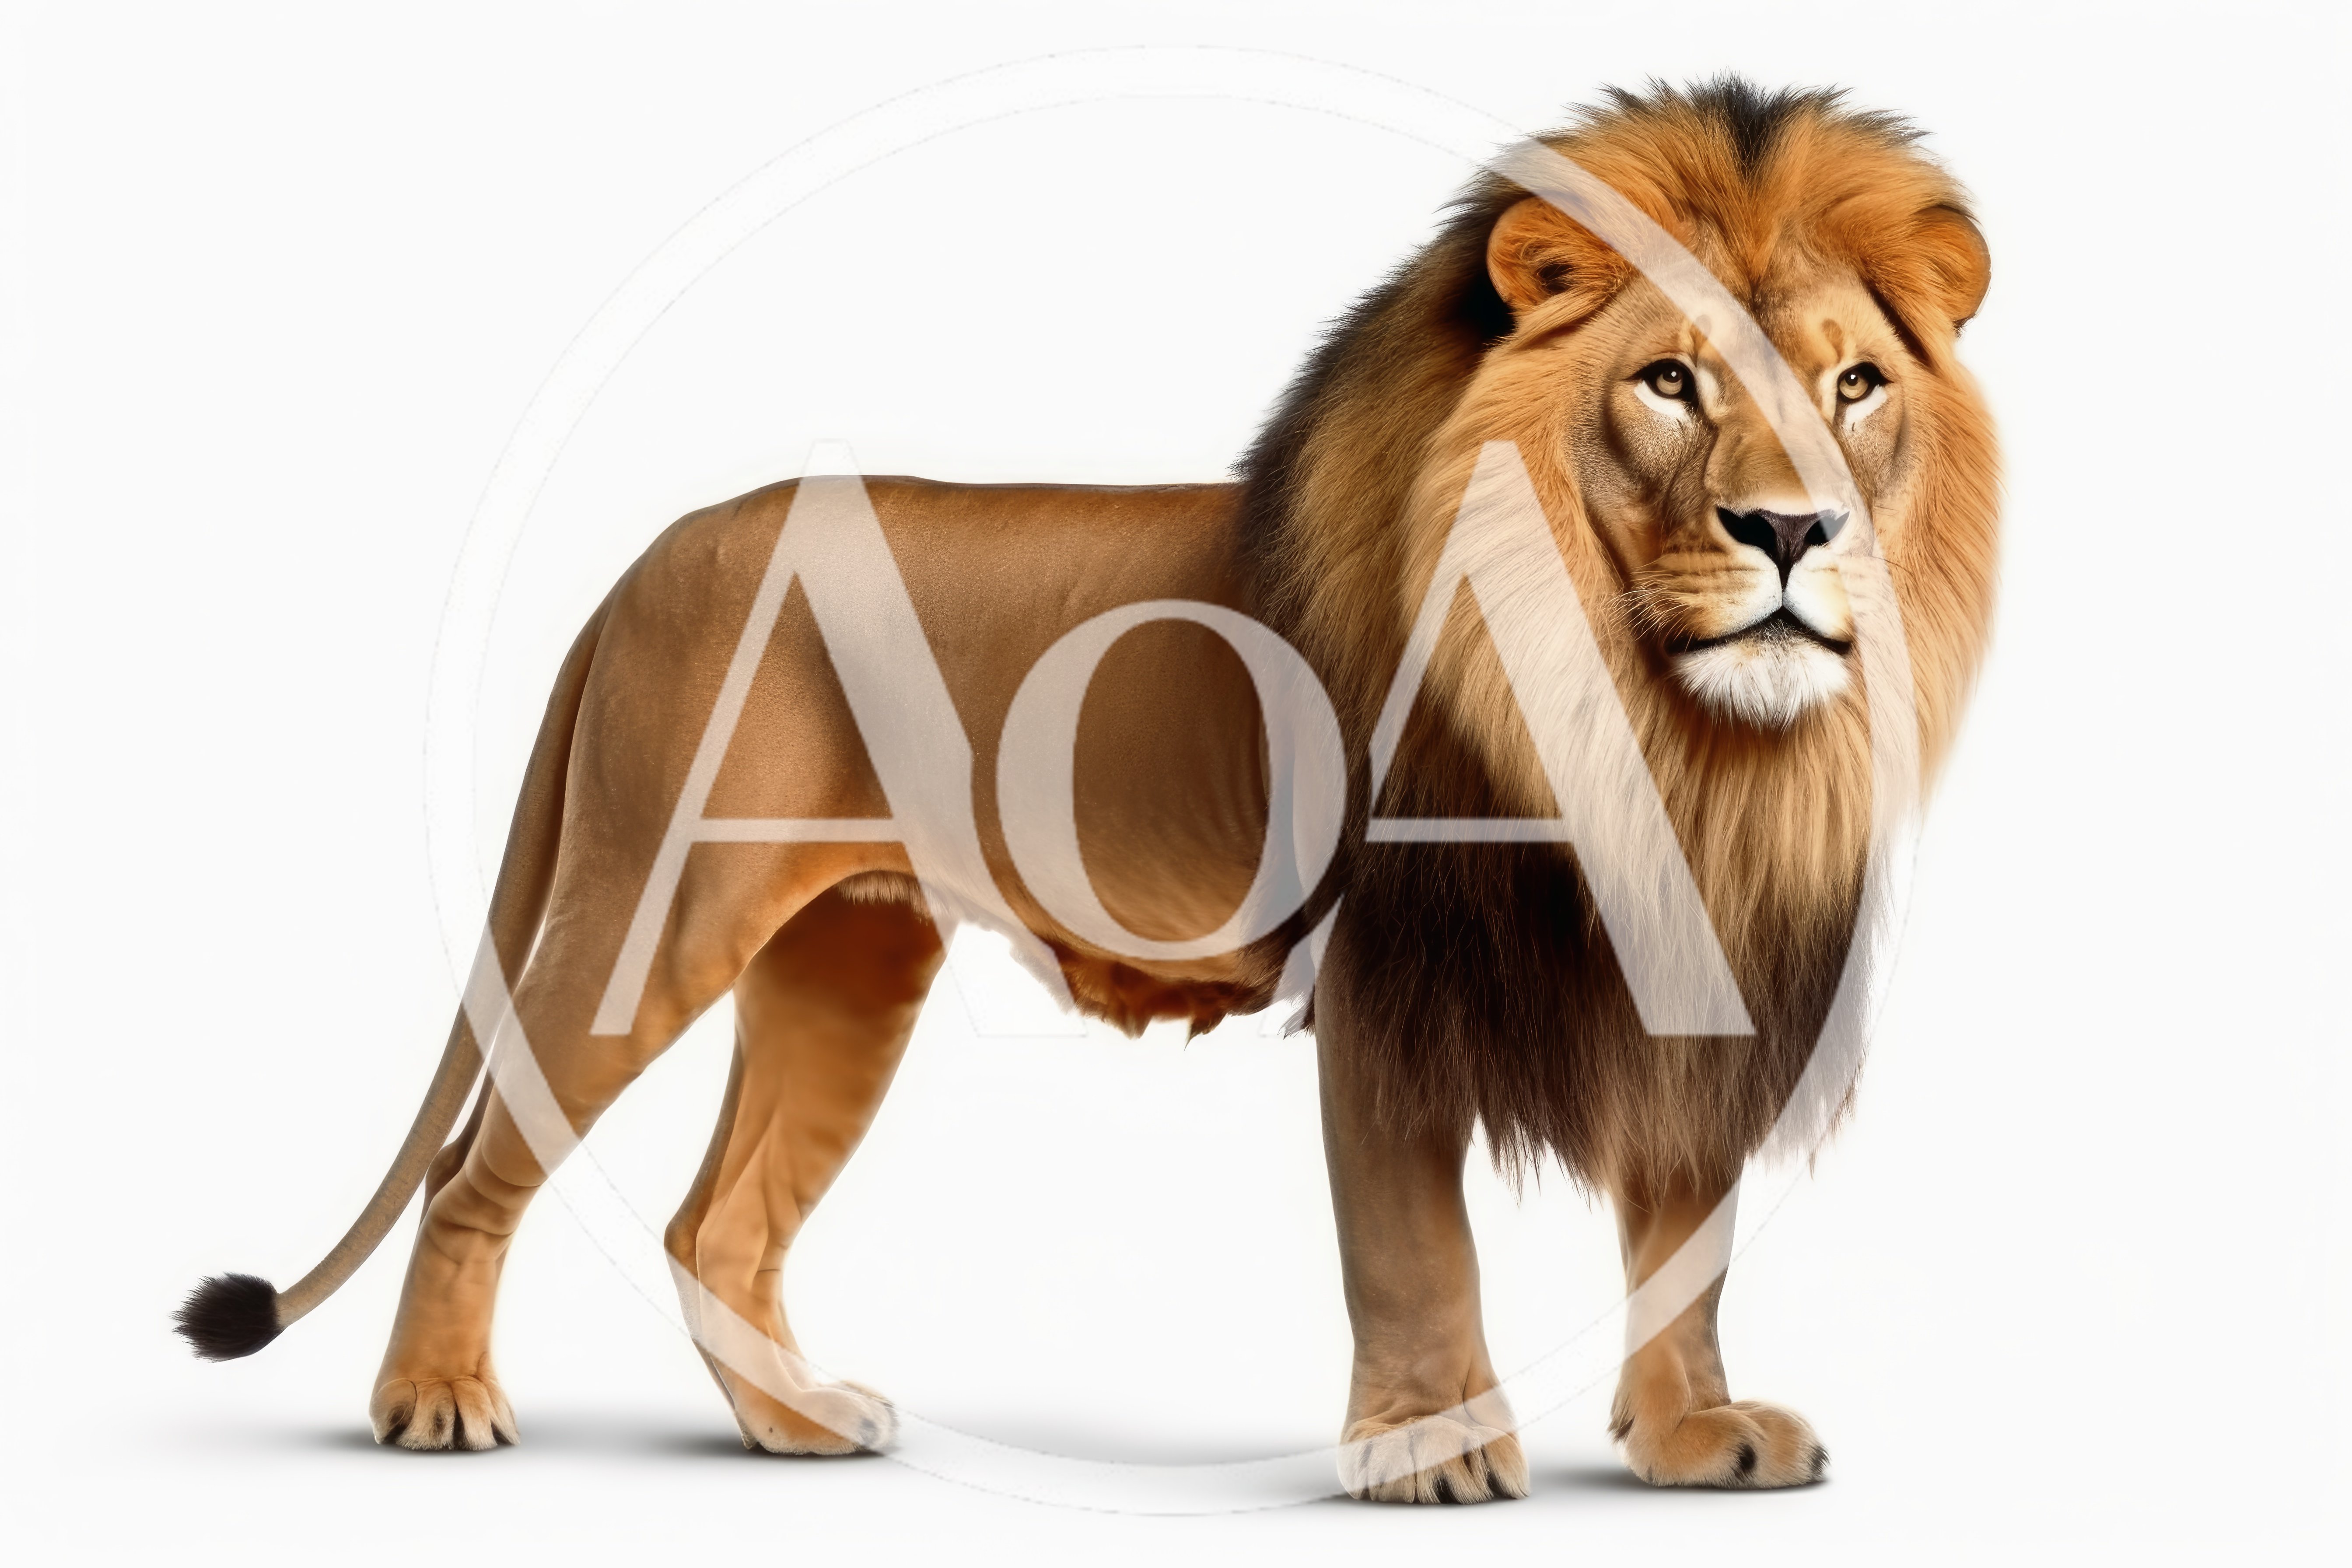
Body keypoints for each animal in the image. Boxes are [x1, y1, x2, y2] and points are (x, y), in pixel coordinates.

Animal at [177, 79, 1996, 1503]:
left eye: (1850, 385)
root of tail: (655, 554)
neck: (1673, 733)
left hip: (846, 958)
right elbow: (1414, 1237)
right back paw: (434, 1404)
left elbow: (1686, 1232)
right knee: (479, 1165)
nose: (1793, 531)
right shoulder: (1382, 974)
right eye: (1670, 382)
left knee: (717, 1223)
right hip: (655, 904)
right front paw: (1429, 1445)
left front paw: (1691, 1435)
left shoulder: (1704, 966)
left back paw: (793, 1425)